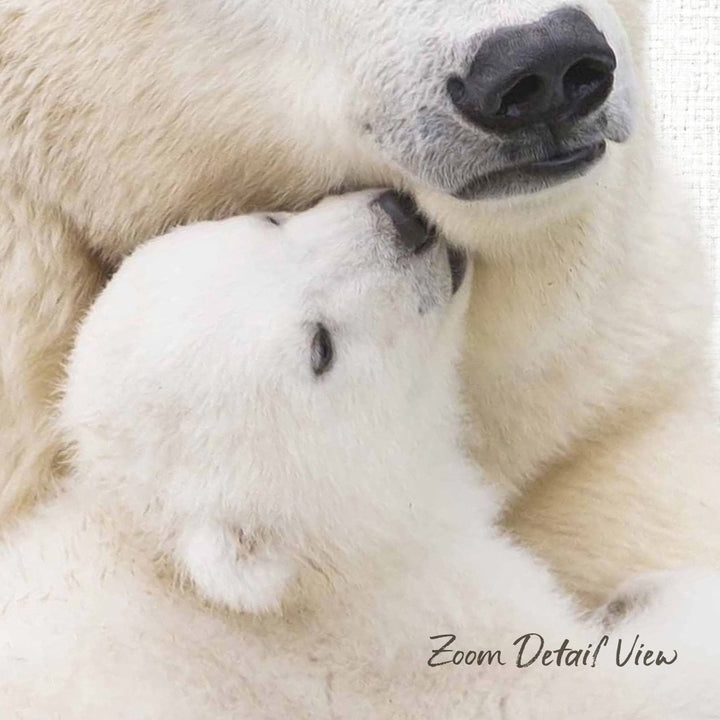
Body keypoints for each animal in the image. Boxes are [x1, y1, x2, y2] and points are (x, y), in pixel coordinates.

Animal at [2, 190, 719, 718]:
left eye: (270, 218)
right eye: (321, 348)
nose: (403, 218)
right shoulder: (400, 640)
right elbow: (598, 692)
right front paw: (658, 598)